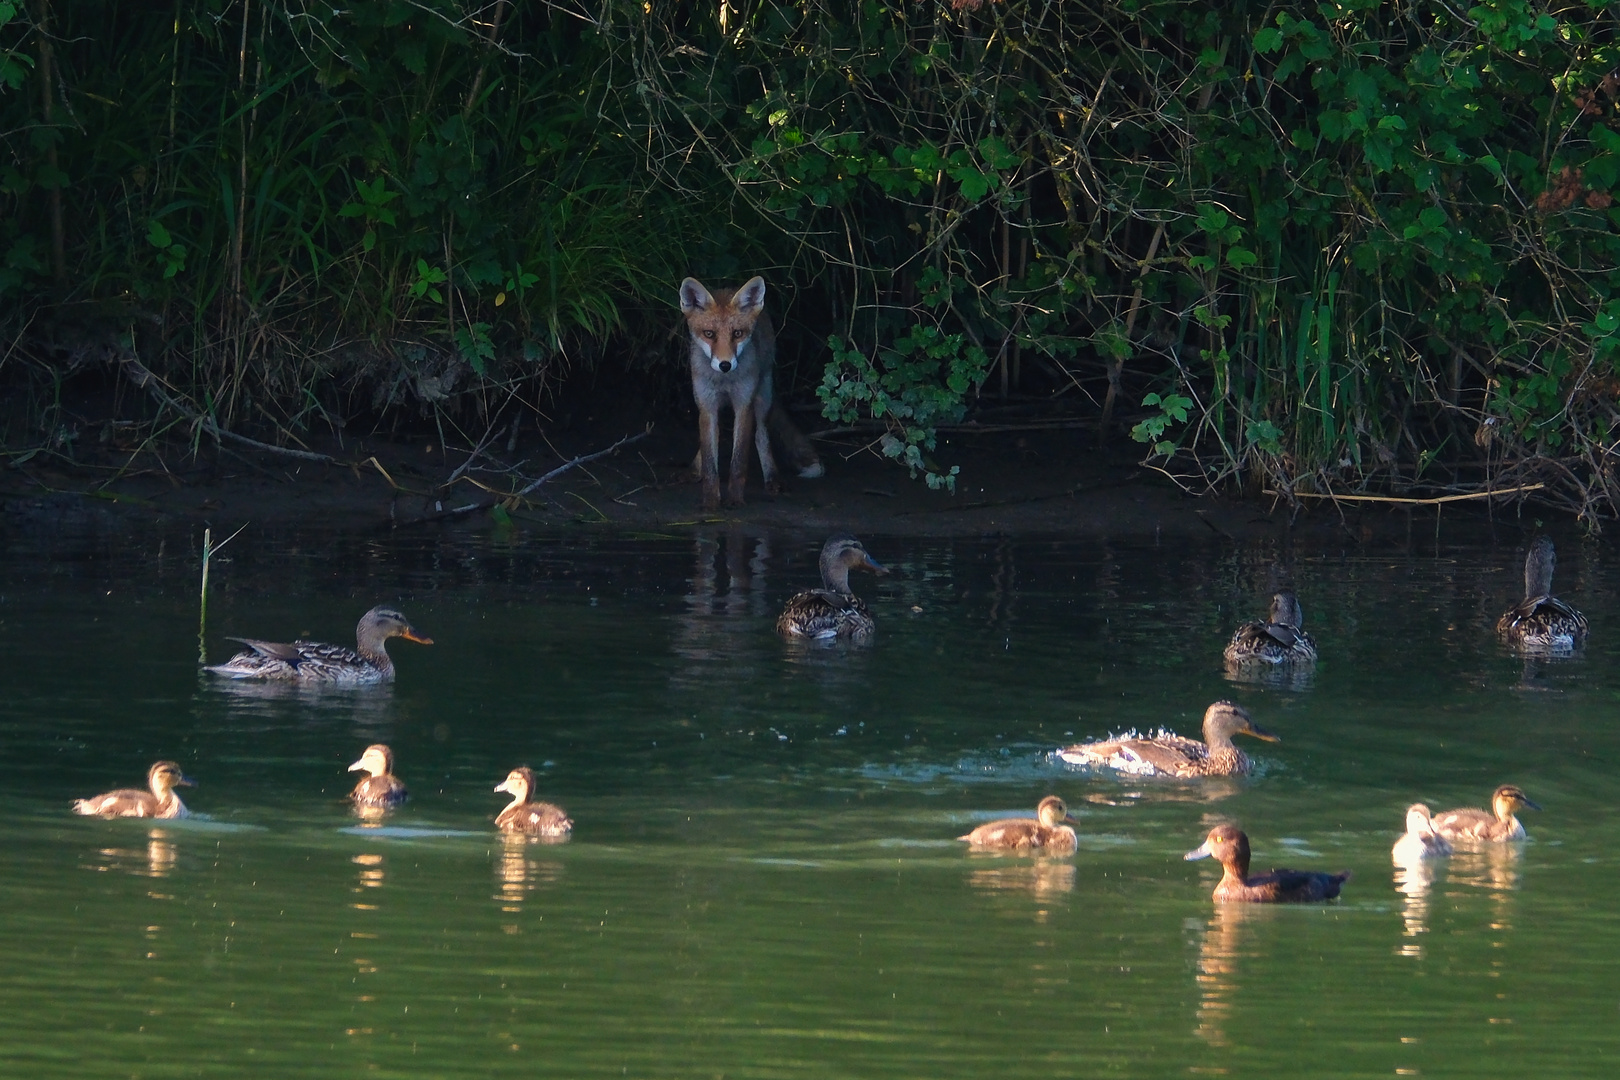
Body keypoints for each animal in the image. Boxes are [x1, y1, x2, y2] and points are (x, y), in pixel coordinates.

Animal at [677, 270, 822, 508]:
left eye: (737, 333)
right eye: (709, 334)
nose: (725, 365)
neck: (725, 381)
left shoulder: (744, 405)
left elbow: (739, 462)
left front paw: (735, 500)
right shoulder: (707, 405)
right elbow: (709, 460)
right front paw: (711, 501)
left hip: (762, 397)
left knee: (762, 436)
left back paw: (772, 477)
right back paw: (694, 470)